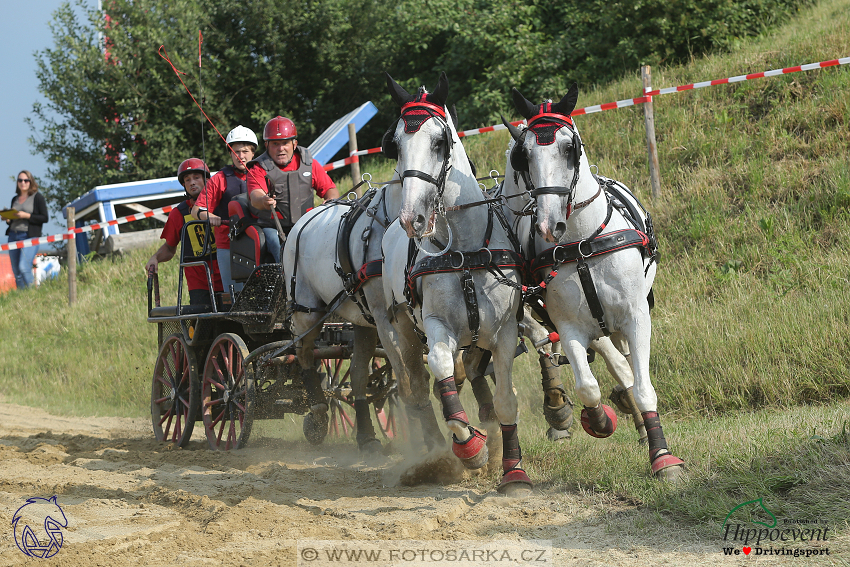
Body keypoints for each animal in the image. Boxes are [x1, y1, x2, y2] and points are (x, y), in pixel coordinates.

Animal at [380, 72, 528, 496]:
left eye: (439, 141)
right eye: (395, 143)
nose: (411, 217)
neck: (463, 250)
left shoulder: (504, 332)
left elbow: (505, 399)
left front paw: (512, 469)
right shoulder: (436, 326)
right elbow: (443, 371)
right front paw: (471, 449)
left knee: (474, 379)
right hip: (398, 330)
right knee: (416, 389)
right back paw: (434, 453)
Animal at [504, 86, 684, 482]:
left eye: (570, 147)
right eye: (524, 155)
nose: (548, 224)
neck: (583, 243)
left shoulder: (635, 316)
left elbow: (643, 386)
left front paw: (662, 456)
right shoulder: (569, 326)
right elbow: (587, 387)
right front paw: (598, 419)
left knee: (627, 361)